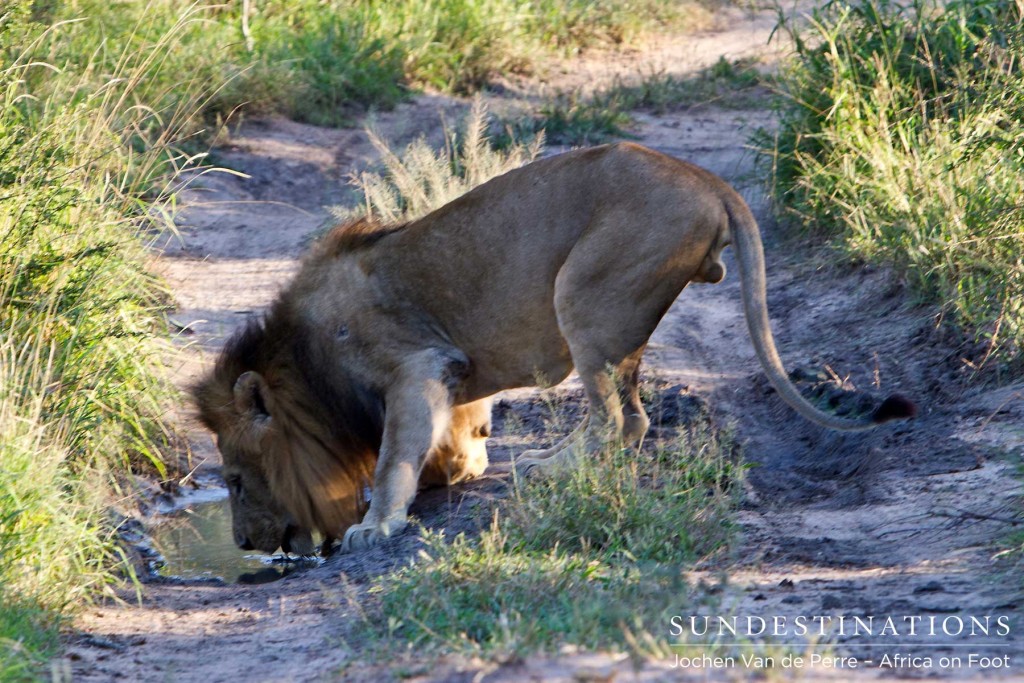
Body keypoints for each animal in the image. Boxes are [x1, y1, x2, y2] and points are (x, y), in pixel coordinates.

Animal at [192, 143, 913, 557]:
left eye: (235, 480)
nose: (244, 545)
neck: (303, 361)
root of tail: (707, 179)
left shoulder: (415, 362)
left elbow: (395, 453)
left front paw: (378, 523)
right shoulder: (450, 372)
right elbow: (454, 431)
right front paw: (462, 465)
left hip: (584, 294)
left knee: (617, 418)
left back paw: (551, 468)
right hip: (616, 315)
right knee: (634, 418)